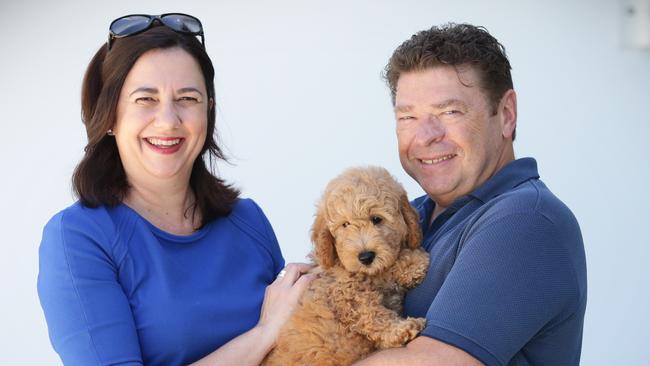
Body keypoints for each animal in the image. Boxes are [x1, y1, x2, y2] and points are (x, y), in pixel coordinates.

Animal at [260, 167, 428, 366]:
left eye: (377, 219)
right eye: (345, 225)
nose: (366, 256)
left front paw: (412, 263)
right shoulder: (346, 295)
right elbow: (372, 314)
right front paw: (403, 328)